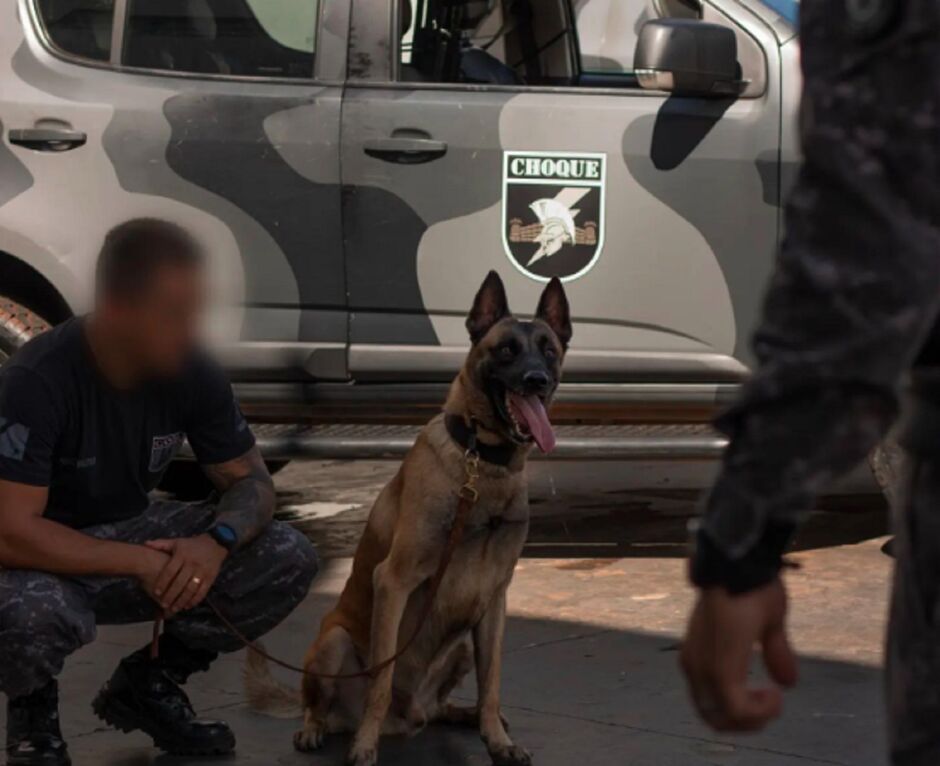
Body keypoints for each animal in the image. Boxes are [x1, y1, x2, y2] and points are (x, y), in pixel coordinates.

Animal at [246, 272, 568, 766]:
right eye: (506, 350)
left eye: (548, 349)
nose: (537, 379)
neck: (481, 464)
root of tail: (407, 718)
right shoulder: (393, 582)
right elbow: (380, 681)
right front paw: (364, 747)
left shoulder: (494, 600)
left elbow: (492, 682)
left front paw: (496, 739)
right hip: (333, 644)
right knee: (318, 705)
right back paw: (318, 729)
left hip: (459, 647)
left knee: (438, 707)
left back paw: (464, 715)